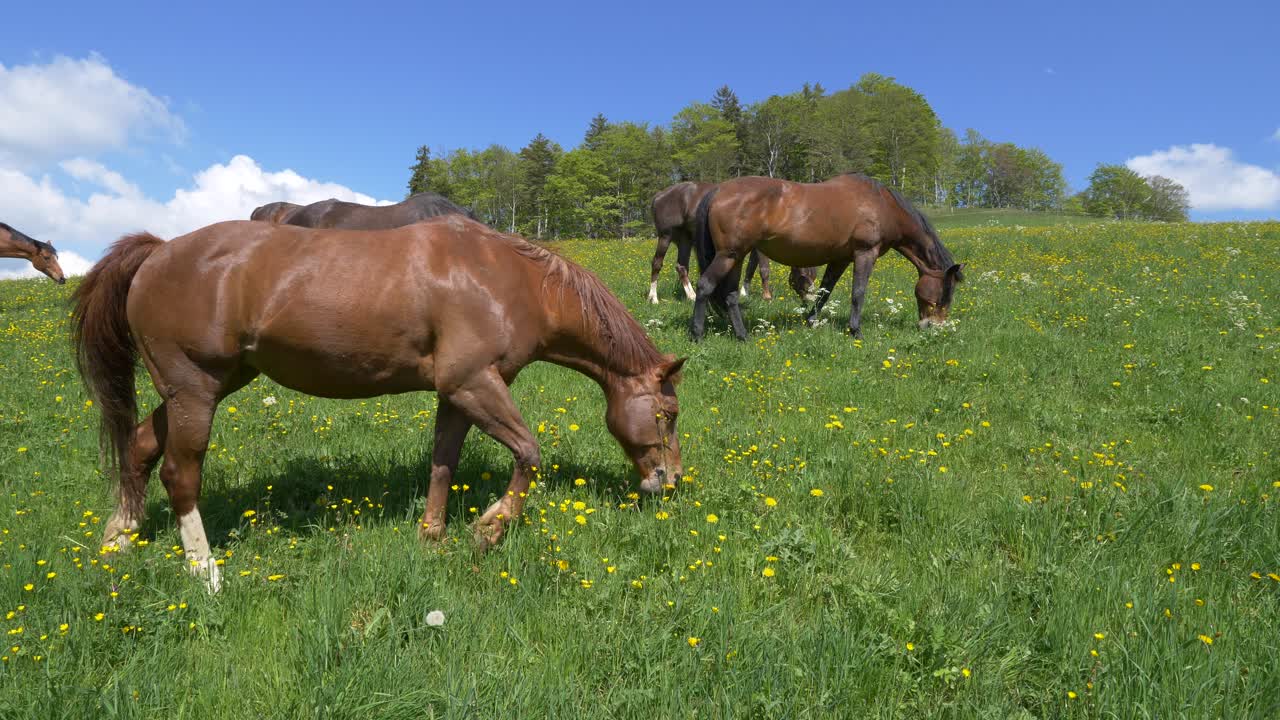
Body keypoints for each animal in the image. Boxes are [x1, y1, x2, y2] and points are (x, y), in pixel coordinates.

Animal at [71, 216, 686, 591]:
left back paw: (118, 539)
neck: (504, 277)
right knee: (180, 473)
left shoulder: (457, 395)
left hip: (206, 386)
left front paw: (432, 539)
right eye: (668, 414)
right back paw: (205, 573)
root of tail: (158, 252)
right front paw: (488, 530)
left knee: (139, 448)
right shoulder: (474, 384)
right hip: (195, 390)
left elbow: (443, 464)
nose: (669, 482)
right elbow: (529, 453)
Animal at [649, 182, 815, 304]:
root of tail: (659, 195)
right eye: (804, 276)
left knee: (682, 267)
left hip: (685, 240)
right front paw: (767, 296)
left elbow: (750, 269)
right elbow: (764, 269)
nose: (812, 299)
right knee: (657, 263)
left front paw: (744, 293)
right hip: (665, 236)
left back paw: (692, 296)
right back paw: (653, 298)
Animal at [690, 174, 963, 341]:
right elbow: (858, 293)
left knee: (730, 295)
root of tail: (718, 191)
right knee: (705, 285)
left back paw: (743, 336)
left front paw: (811, 321)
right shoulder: (865, 253)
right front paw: (856, 331)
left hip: (736, 257)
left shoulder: (840, 259)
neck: (882, 204)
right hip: (729, 255)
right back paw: (697, 334)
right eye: (944, 295)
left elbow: (825, 292)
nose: (933, 327)